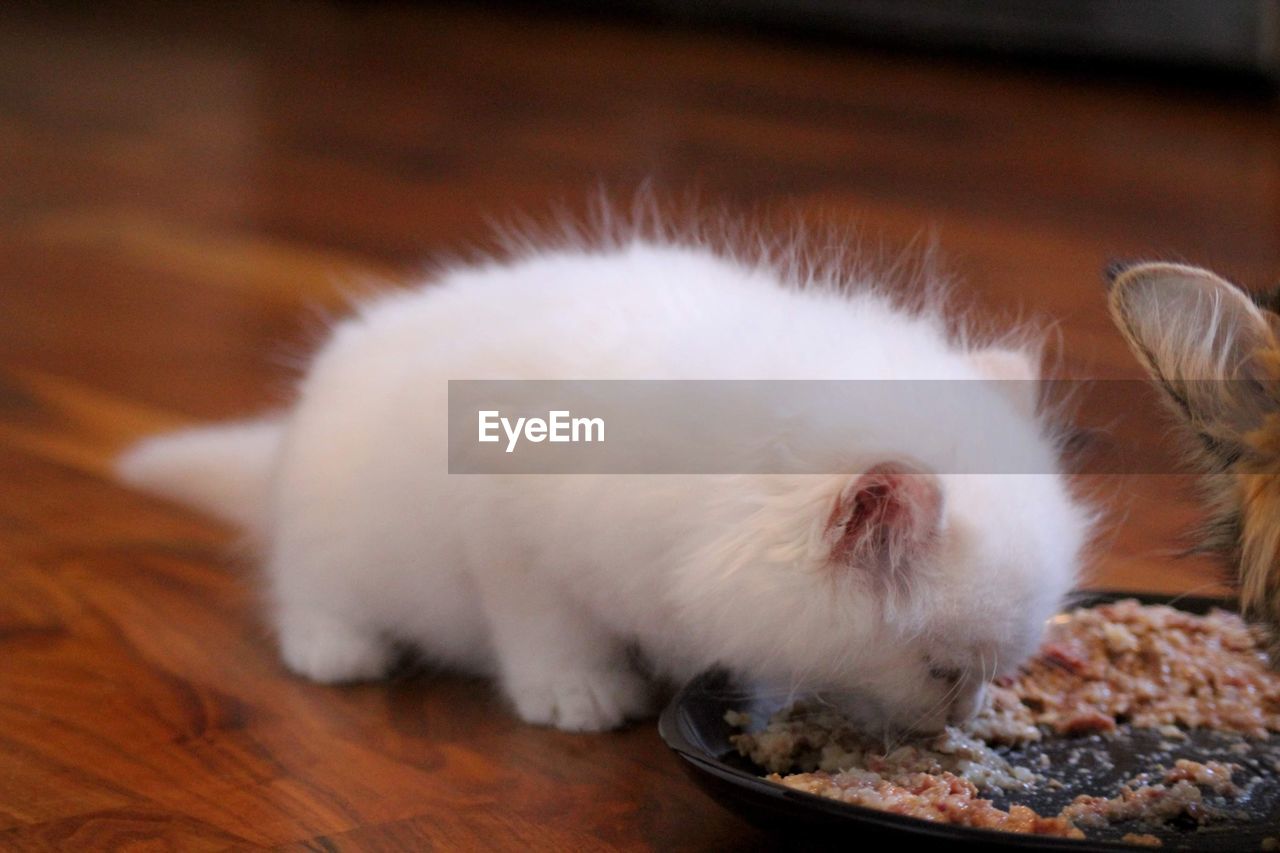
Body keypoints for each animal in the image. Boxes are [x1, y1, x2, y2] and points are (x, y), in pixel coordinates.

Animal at [117, 233, 1090, 732]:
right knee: (304, 590)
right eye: (940, 670)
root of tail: (289, 436)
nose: (960, 723)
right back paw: (338, 650)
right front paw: (578, 697)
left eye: (989, 675)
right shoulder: (508, 539)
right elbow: (547, 629)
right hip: (332, 537)